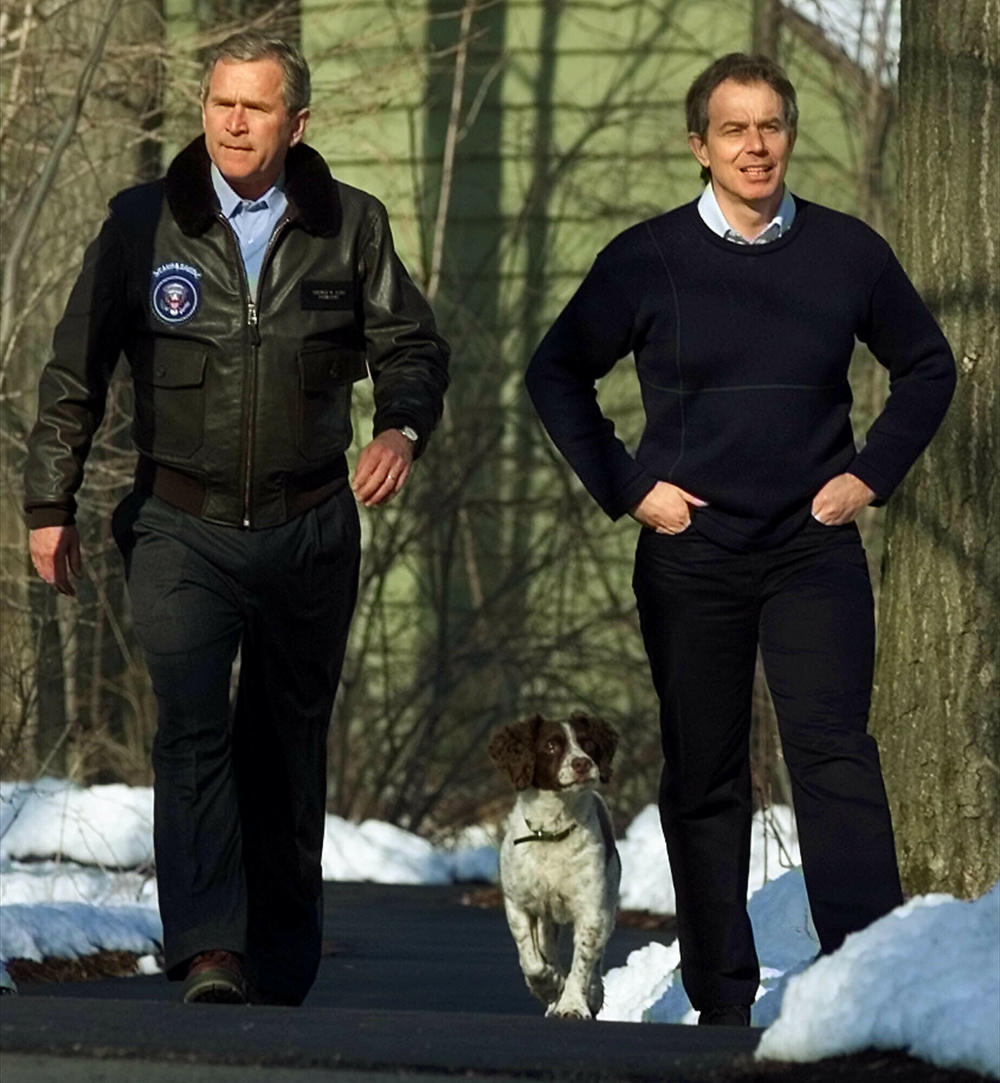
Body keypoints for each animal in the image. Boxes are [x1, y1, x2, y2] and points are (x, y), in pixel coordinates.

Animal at [489, 714, 619, 1018]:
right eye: (550, 746)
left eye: (588, 744)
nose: (582, 763)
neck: (551, 832)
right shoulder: (518, 903)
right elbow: (532, 959)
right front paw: (549, 987)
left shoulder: (592, 909)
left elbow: (582, 961)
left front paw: (572, 1004)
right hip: (546, 916)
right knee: (545, 946)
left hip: (608, 902)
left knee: (596, 957)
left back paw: (592, 993)